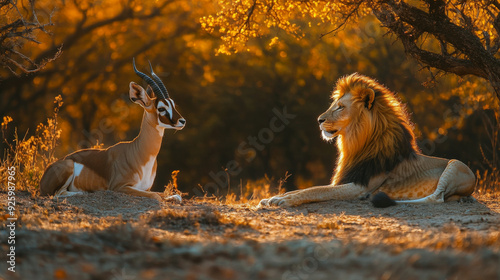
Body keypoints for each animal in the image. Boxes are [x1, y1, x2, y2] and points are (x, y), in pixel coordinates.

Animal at [40, 58, 186, 201]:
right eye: (161, 108)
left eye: (173, 104)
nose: (182, 121)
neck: (139, 153)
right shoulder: (120, 187)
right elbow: (156, 197)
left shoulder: (146, 189)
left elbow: (176, 196)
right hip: (66, 172)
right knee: (58, 194)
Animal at [260, 72, 474, 208]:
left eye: (340, 107)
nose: (319, 120)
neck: (357, 144)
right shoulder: (346, 180)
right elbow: (308, 188)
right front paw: (273, 197)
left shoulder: (359, 186)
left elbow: (315, 191)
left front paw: (283, 201)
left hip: (456, 163)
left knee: (436, 198)